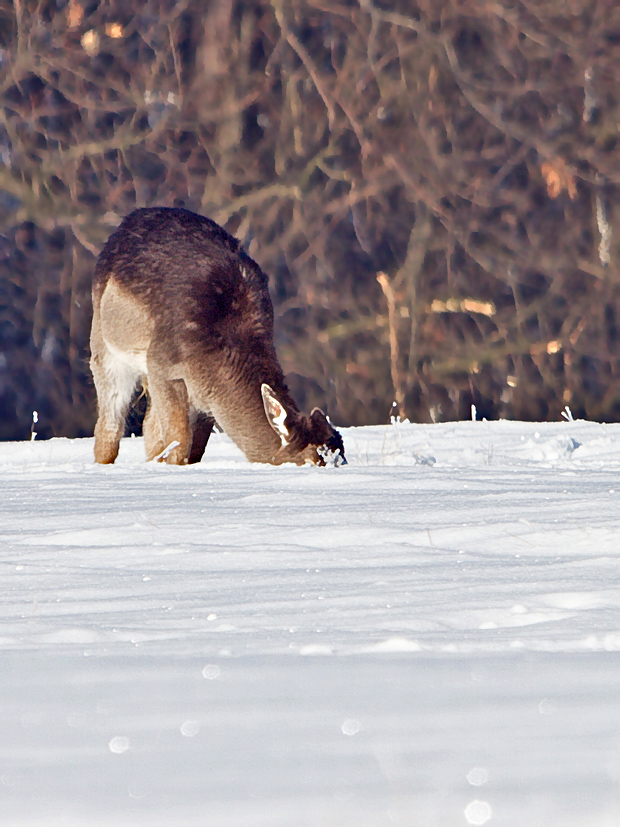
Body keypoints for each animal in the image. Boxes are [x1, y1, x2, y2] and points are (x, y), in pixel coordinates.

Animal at [89, 205, 346, 466]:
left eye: (342, 456)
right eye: (313, 459)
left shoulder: (204, 398)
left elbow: (194, 449)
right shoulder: (162, 364)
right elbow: (179, 441)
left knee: (148, 425)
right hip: (103, 341)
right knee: (109, 424)